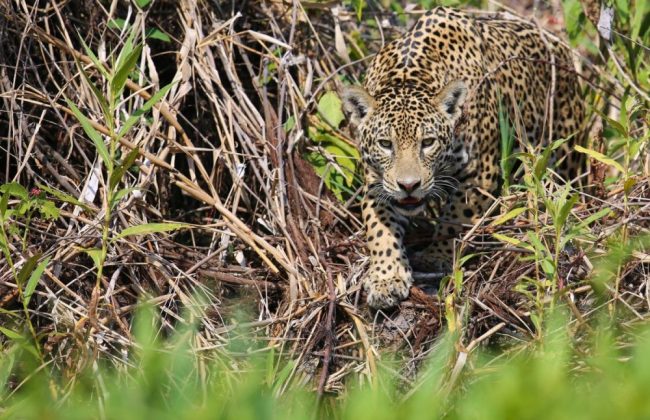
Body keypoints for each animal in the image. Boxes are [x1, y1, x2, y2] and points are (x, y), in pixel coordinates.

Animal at [342, 7, 585, 309]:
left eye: (428, 143)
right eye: (386, 144)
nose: (409, 186)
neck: (409, 76)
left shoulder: (480, 174)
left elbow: (455, 220)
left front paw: (436, 256)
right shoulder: (377, 183)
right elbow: (380, 229)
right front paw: (386, 278)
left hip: (566, 152)